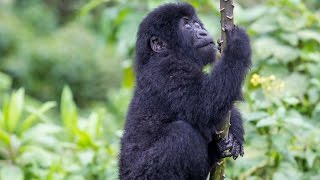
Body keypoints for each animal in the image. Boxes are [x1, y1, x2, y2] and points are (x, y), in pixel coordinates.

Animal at [119, 2, 251, 179]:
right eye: (187, 26)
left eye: (197, 24)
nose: (203, 32)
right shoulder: (168, 69)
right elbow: (205, 102)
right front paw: (237, 44)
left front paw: (235, 134)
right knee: (181, 133)